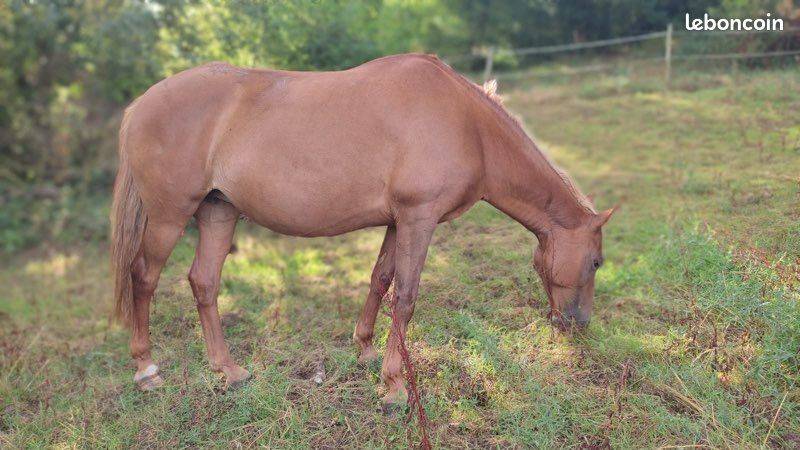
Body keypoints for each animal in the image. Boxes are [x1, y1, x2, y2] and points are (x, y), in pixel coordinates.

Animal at [110, 53, 614, 409]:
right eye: (596, 262)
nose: (579, 324)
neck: (468, 126)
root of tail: (138, 106)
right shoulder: (418, 219)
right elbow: (406, 297)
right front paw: (394, 389)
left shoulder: (398, 221)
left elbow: (381, 280)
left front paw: (367, 352)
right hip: (171, 216)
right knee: (144, 277)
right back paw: (148, 370)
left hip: (219, 212)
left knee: (204, 282)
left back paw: (230, 372)